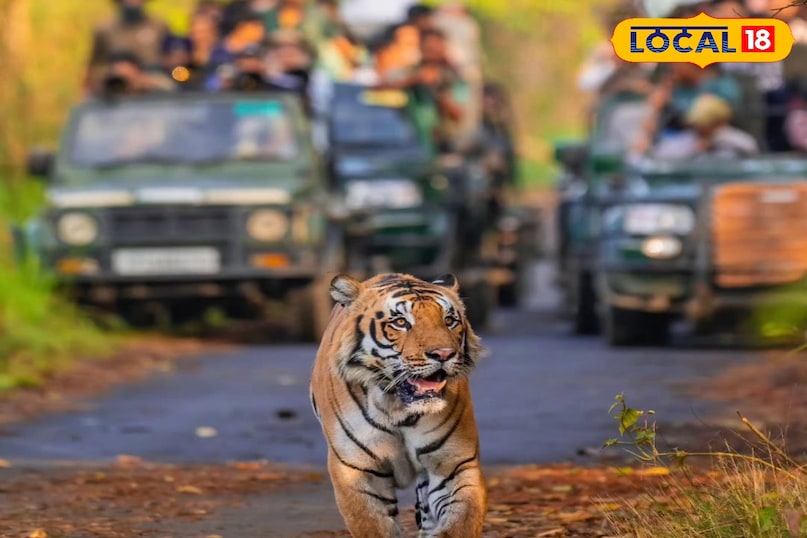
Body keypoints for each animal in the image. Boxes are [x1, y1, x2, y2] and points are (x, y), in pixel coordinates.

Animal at [309, 272, 487, 538]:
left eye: (449, 320)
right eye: (401, 323)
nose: (444, 354)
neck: (397, 409)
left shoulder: (454, 464)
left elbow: (460, 522)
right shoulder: (358, 471)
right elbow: (373, 526)